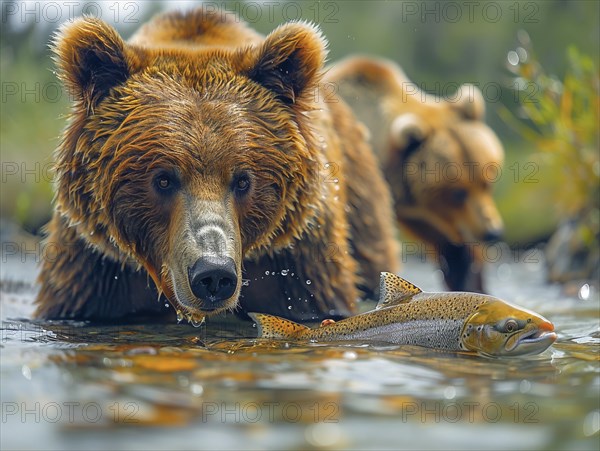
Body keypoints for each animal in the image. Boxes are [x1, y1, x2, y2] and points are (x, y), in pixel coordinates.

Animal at [326, 57, 504, 294]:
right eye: (458, 192)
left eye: (487, 183)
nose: (492, 232)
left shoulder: (422, 214)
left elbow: (451, 247)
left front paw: (468, 279)